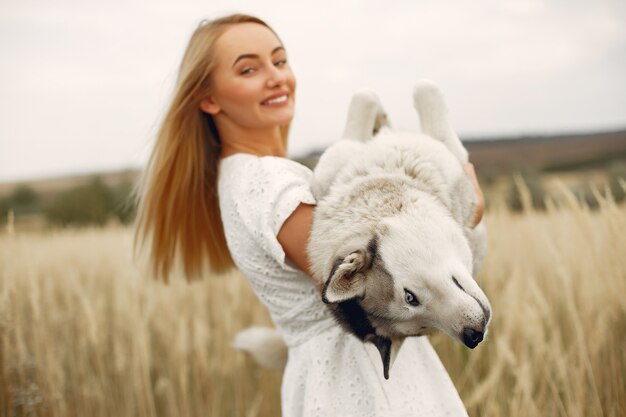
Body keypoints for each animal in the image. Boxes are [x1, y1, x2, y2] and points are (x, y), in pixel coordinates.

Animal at [304, 79, 490, 378]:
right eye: (422, 327)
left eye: (409, 297)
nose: (474, 337)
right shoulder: (446, 145)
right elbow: (420, 90)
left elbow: (375, 96)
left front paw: (381, 119)